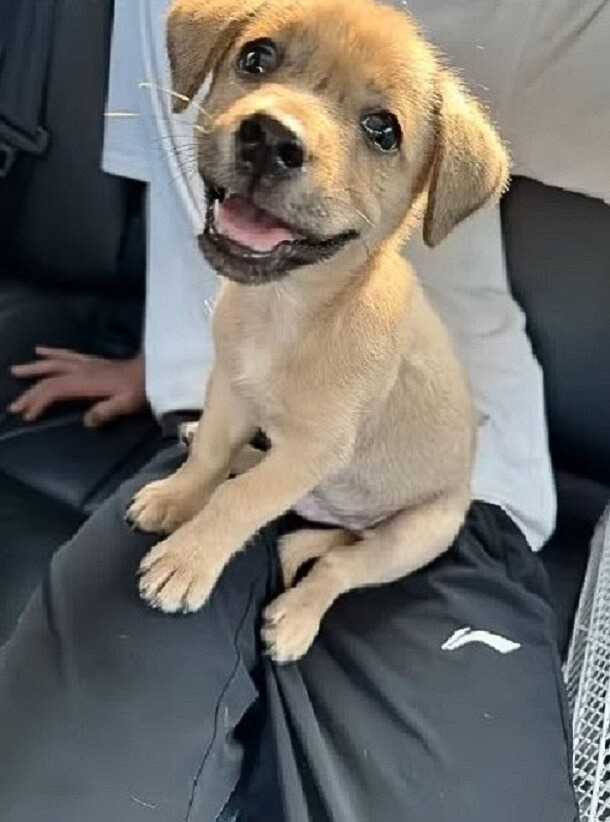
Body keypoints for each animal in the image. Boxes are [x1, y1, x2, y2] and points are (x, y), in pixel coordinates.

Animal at [129, 0, 508, 664]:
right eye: (256, 58)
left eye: (383, 131)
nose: (271, 138)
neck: (289, 312)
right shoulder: (231, 387)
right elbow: (211, 459)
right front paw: (178, 497)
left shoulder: (313, 452)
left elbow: (240, 502)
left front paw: (188, 561)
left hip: (412, 537)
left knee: (339, 568)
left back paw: (296, 617)